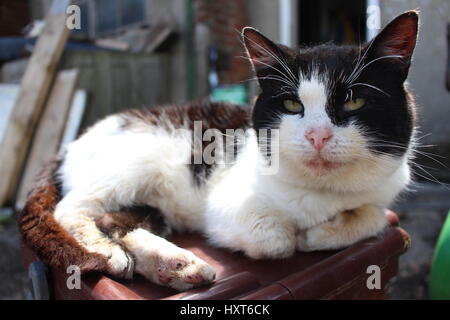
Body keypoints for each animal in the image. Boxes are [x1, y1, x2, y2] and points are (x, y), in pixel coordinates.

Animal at [51, 10, 418, 290]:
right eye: (291, 104)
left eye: (354, 101)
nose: (317, 136)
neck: (322, 191)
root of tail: (71, 144)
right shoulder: (224, 204)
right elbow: (277, 239)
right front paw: (300, 236)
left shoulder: (382, 191)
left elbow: (374, 216)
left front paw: (319, 234)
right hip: (135, 161)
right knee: (72, 208)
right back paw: (110, 253)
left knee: (116, 219)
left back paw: (173, 266)